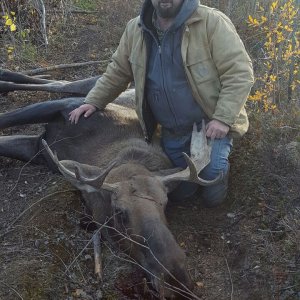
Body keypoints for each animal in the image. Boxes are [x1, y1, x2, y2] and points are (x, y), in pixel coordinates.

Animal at [0, 69, 223, 298]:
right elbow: (5, 118)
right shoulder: (65, 108)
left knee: (60, 82)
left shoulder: (39, 150)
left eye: (165, 204)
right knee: (60, 85)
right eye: (119, 212)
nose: (177, 278)